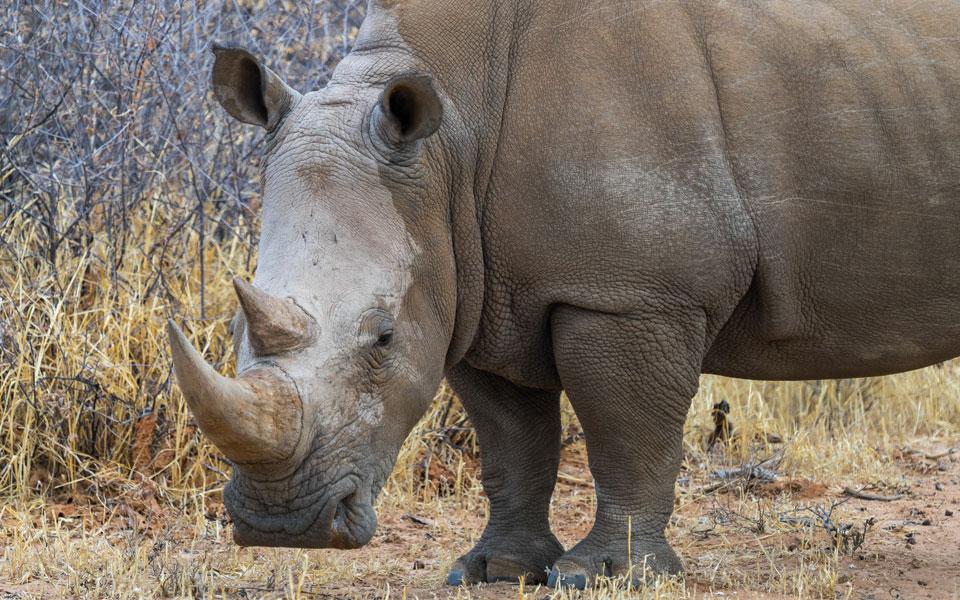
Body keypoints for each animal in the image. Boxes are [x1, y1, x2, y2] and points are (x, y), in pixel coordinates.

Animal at [167, 0, 960, 589]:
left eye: (384, 336)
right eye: (234, 328)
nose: (283, 527)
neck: (452, 138)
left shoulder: (628, 292)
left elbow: (625, 433)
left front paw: (607, 574)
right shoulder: (475, 290)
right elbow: (511, 443)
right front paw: (496, 569)